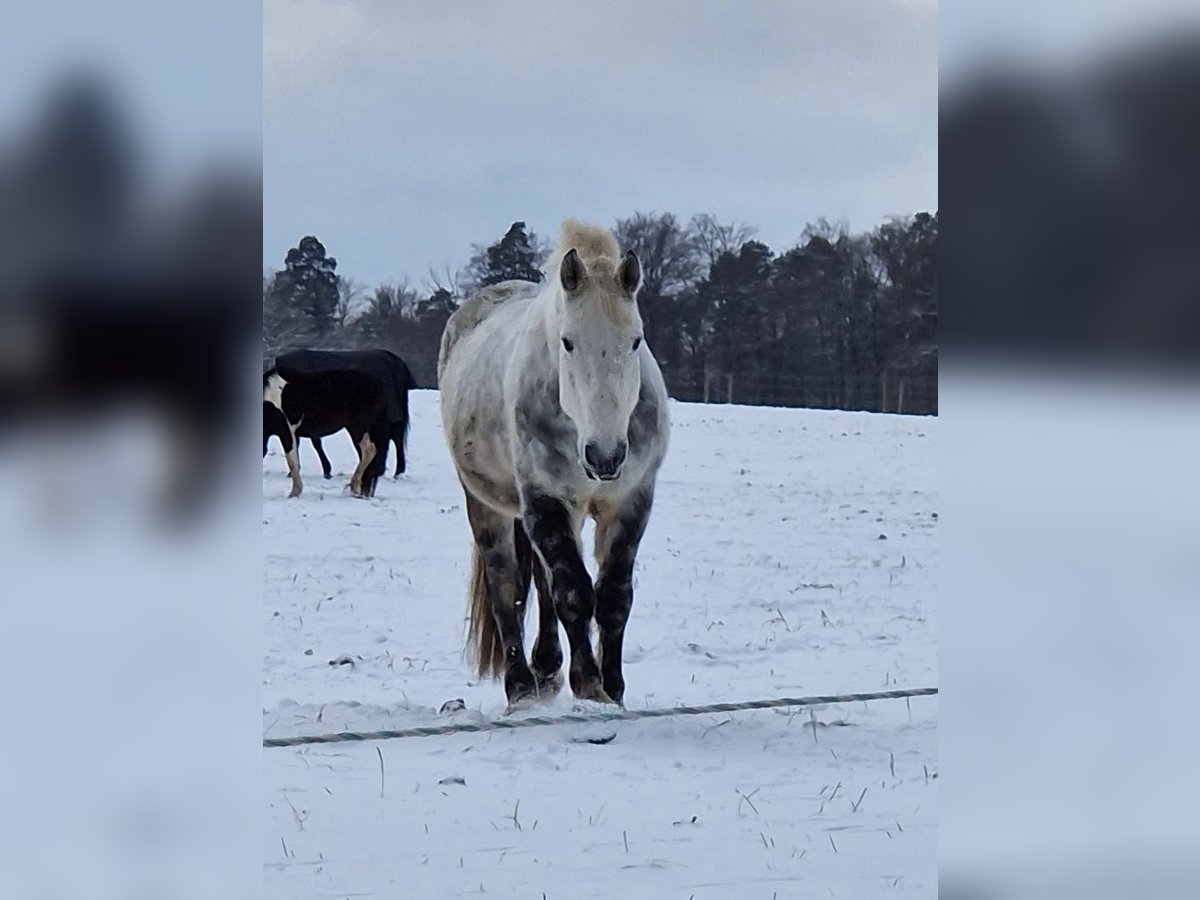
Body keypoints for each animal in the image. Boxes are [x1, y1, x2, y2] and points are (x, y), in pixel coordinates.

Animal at [262, 365, 391, 498]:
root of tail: (381, 386)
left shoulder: (287, 432)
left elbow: (292, 462)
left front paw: (294, 492)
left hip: (358, 428)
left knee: (369, 451)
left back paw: (355, 486)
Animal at [438, 219, 670, 706]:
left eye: (635, 340)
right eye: (568, 343)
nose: (605, 456)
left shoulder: (630, 501)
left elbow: (613, 597)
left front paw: (614, 689)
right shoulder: (545, 498)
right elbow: (574, 594)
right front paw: (590, 686)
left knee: (544, 585)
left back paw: (546, 669)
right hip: (487, 505)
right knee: (507, 586)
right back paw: (522, 686)